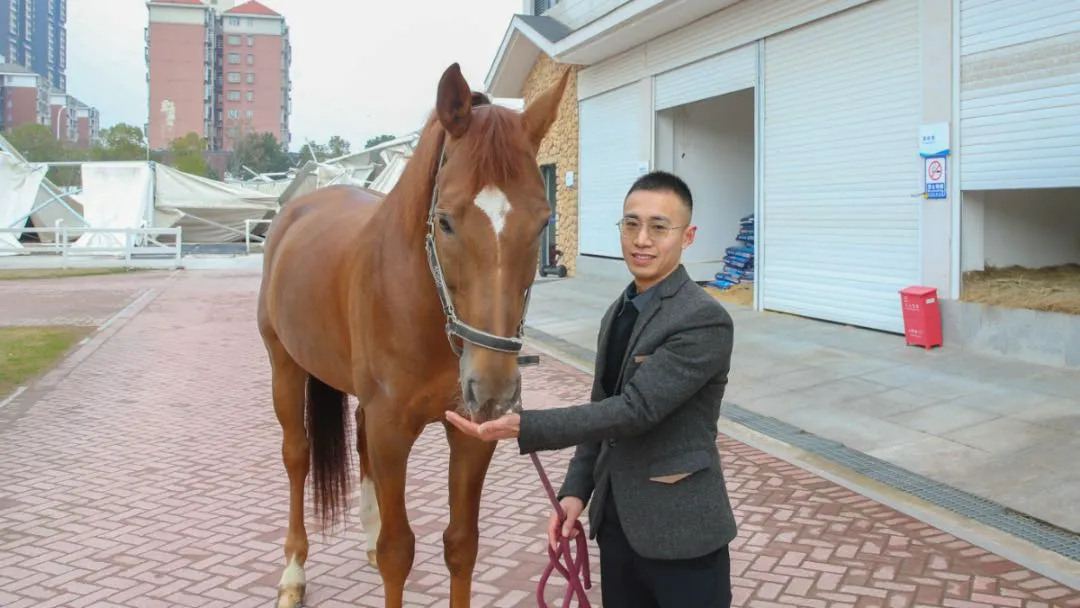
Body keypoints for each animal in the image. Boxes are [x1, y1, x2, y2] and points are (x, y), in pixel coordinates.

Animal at [256, 62, 572, 608]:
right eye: (443, 220)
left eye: (543, 221)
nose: (493, 388)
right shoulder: (392, 430)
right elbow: (398, 551)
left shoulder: (471, 434)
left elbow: (461, 544)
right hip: (285, 366)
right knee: (296, 455)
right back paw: (293, 573)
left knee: (357, 439)